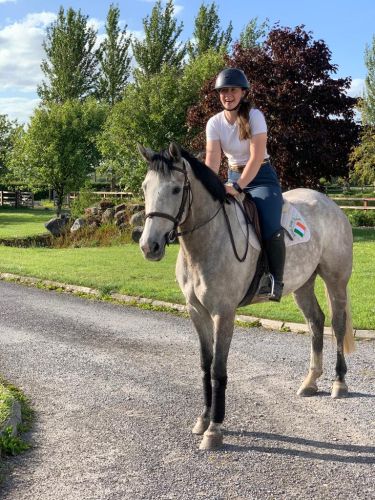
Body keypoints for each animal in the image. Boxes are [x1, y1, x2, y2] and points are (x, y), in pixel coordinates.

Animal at [138, 143, 356, 452]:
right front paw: (203, 419)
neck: (206, 241)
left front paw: (214, 429)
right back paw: (310, 382)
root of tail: (330, 203)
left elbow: (218, 369)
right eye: (145, 187)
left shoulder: (224, 313)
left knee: (336, 324)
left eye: (176, 189)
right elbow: (205, 366)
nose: (149, 246)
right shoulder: (197, 312)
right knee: (316, 322)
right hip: (303, 284)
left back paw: (339, 383)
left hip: (335, 279)